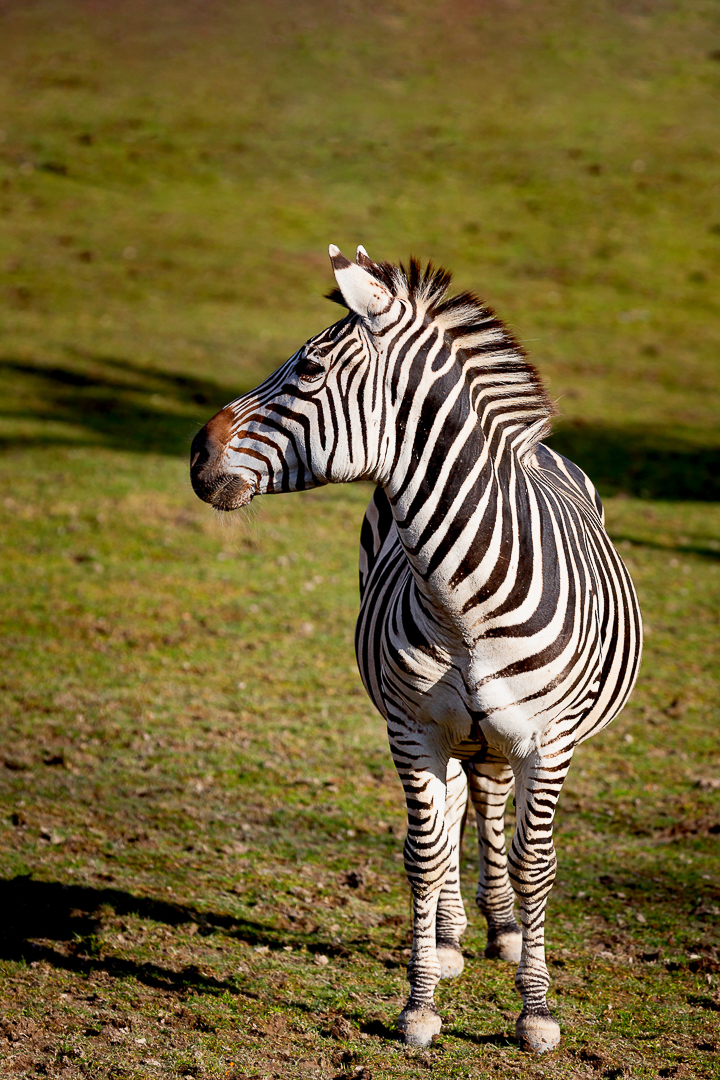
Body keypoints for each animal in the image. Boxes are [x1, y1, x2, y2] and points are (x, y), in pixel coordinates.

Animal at [189, 247, 643, 1054]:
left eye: (309, 369)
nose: (194, 452)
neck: (465, 606)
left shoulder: (547, 741)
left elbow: (535, 861)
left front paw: (536, 1013)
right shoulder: (413, 729)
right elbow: (425, 855)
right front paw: (420, 1004)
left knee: (489, 802)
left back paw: (504, 932)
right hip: (451, 733)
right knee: (463, 800)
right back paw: (455, 936)